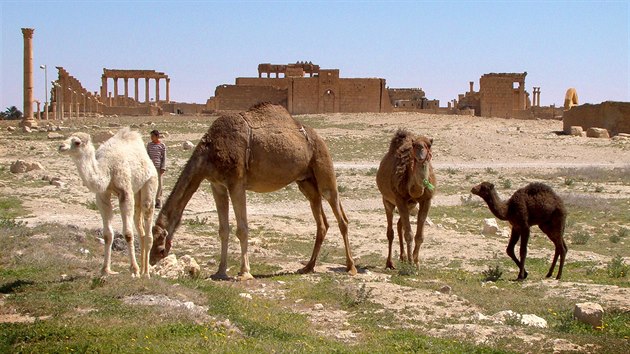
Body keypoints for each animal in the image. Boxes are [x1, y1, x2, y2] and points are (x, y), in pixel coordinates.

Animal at [59, 128, 159, 280]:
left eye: (77, 142)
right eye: (67, 137)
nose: (61, 146)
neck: (107, 169)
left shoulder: (125, 192)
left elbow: (128, 233)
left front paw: (134, 270)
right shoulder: (102, 195)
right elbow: (107, 235)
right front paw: (105, 270)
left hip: (150, 182)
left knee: (148, 226)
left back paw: (146, 273)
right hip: (137, 192)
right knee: (140, 227)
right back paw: (143, 270)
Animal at [148, 101, 356, 280]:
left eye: (159, 247)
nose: (151, 261)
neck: (209, 153)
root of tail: (318, 138)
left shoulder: (237, 183)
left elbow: (242, 229)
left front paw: (244, 273)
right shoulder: (217, 185)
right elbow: (223, 229)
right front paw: (220, 271)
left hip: (323, 165)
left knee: (340, 215)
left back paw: (351, 267)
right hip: (306, 182)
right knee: (321, 221)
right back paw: (308, 266)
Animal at [378, 129, 436, 270]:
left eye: (429, 145)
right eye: (415, 145)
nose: (421, 154)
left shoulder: (426, 200)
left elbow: (419, 236)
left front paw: (416, 262)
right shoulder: (400, 199)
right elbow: (409, 234)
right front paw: (411, 263)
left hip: (411, 204)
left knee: (400, 225)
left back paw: (403, 257)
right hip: (387, 200)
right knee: (390, 231)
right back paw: (390, 263)